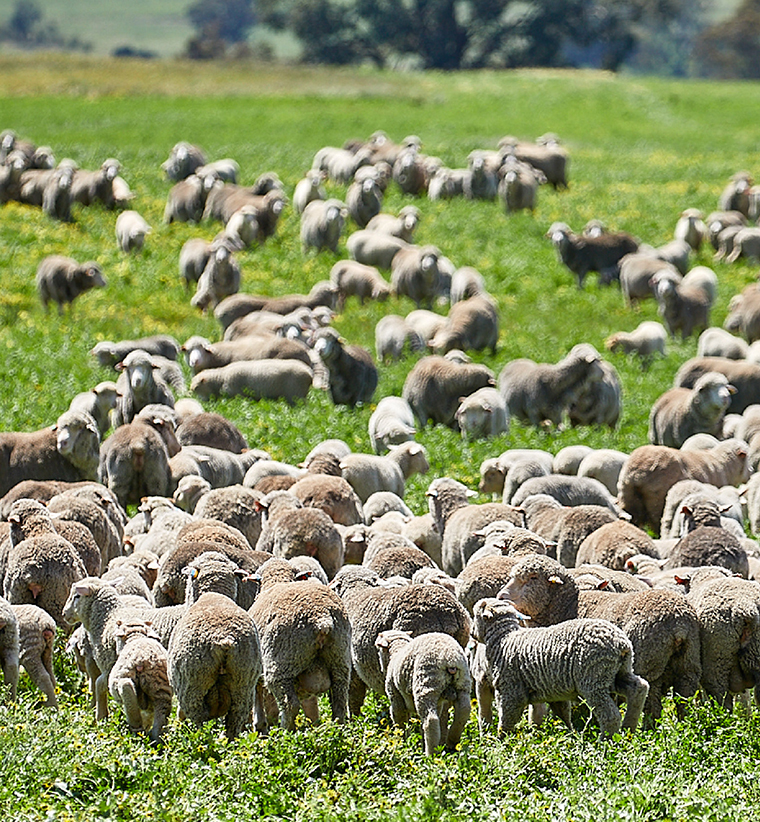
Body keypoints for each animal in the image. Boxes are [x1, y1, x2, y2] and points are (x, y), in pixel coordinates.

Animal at [168, 592, 265, 739]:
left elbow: (180, 713)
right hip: (242, 685)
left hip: (193, 685)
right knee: (234, 722)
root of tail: (225, 641)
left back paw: (199, 738)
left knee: (199, 720)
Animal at [250, 558, 351, 730]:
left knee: (290, 705)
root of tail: (322, 619)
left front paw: (260, 725)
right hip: (340, 660)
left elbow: (257, 695)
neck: (277, 581)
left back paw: (285, 732)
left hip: (281, 664)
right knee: (340, 701)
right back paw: (336, 728)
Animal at [471, 598, 648, 737]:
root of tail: (621, 643)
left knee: (610, 715)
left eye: (475, 615)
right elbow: (557, 714)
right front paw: (569, 735)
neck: (504, 638)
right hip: (617, 671)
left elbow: (506, 720)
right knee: (639, 687)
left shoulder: (511, 691)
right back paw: (628, 729)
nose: (472, 633)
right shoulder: (550, 691)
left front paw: (501, 743)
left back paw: (607, 742)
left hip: (593, 677)